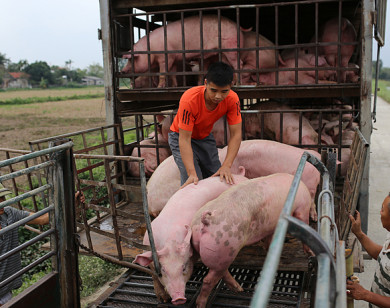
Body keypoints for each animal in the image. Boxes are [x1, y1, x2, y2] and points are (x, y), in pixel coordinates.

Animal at [133, 168, 247, 306]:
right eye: (163, 270)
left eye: (183, 267)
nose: (178, 299)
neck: (170, 241)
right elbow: (153, 275)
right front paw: (163, 300)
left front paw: (239, 290)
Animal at [190, 173, 312, 308]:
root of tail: (206, 220)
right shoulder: (303, 206)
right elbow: (304, 222)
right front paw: (310, 253)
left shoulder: (271, 226)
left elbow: (269, 240)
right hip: (224, 246)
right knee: (208, 279)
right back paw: (201, 304)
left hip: (217, 253)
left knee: (221, 271)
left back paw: (238, 289)